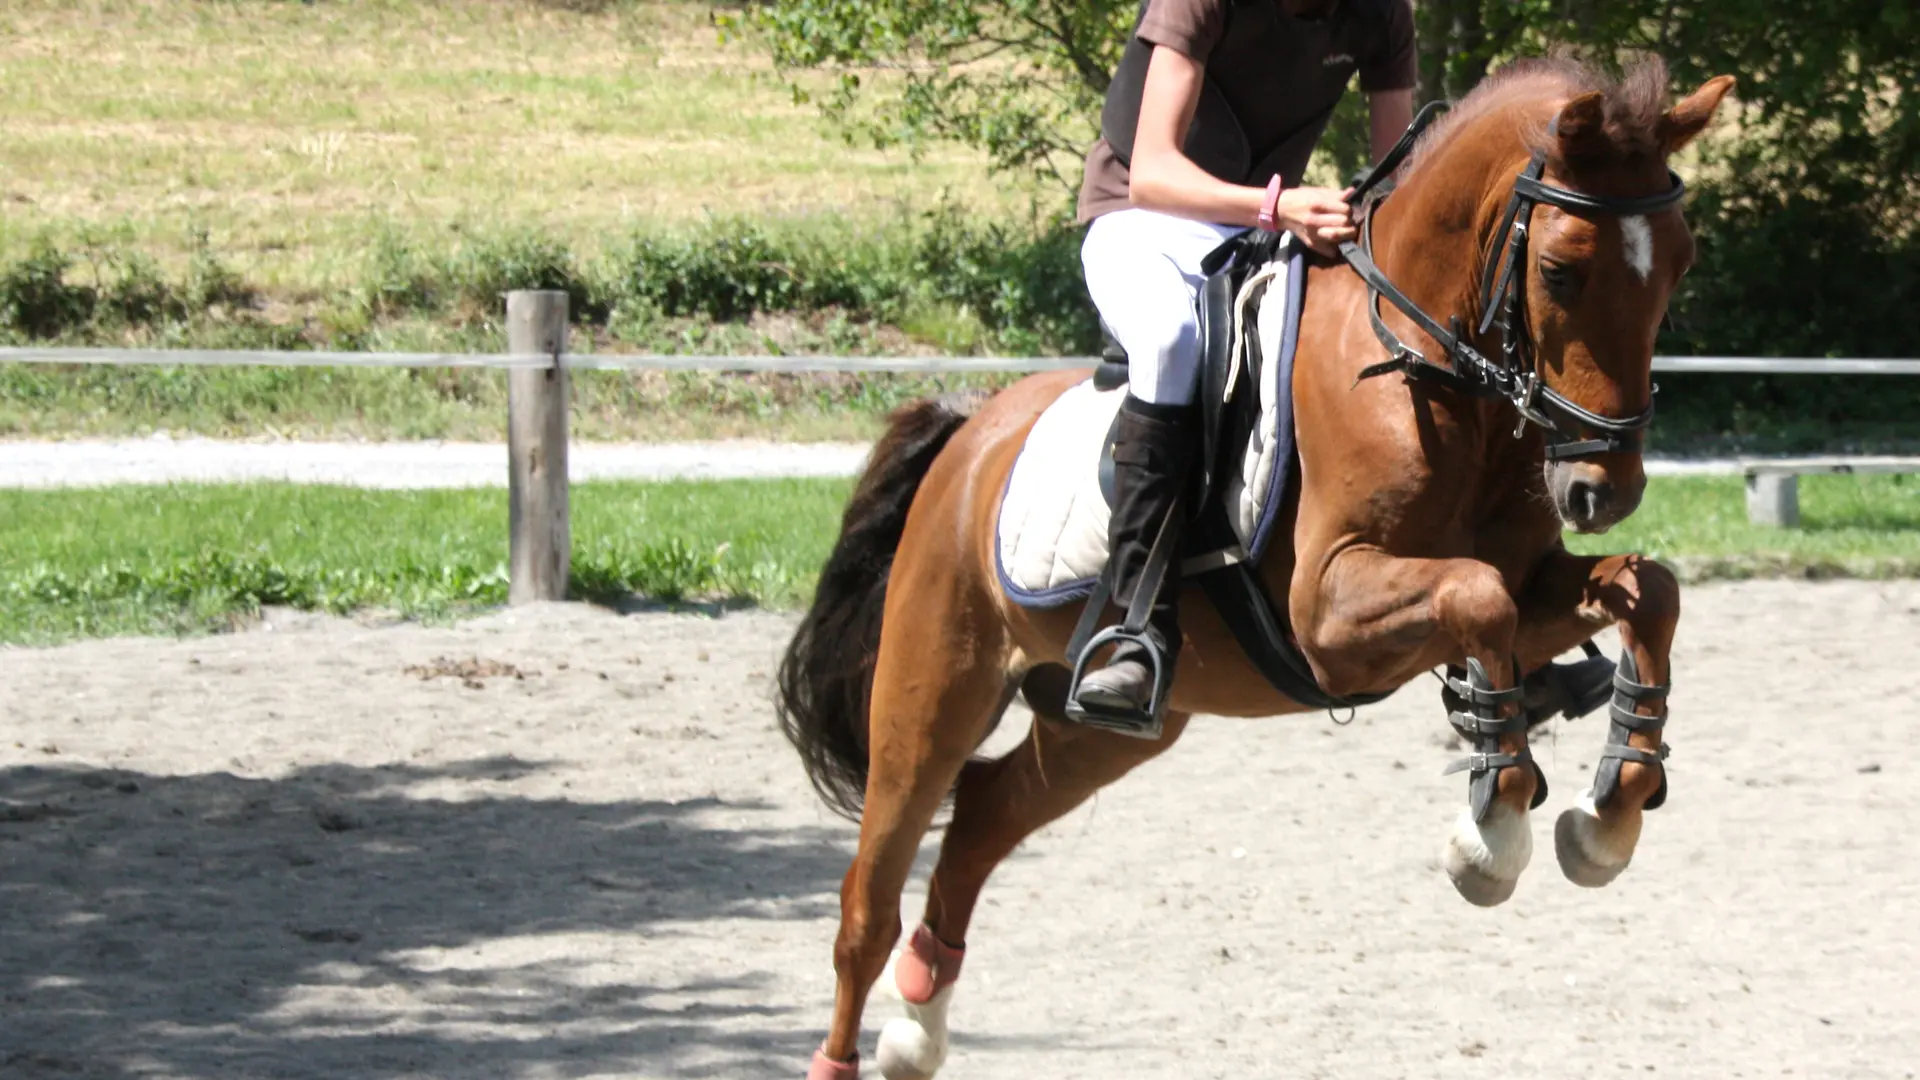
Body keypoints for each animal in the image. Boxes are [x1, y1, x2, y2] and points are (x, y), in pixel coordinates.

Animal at [779, 55, 1736, 1080]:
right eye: (1560, 270)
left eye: (1680, 264)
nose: (1606, 487)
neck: (1430, 375)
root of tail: (968, 438)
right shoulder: (1328, 620)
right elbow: (1479, 604)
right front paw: (1493, 830)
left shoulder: (1531, 583)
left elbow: (1644, 593)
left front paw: (1610, 813)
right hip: (932, 691)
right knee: (868, 899)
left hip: (1104, 728)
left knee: (983, 817)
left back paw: (919, 1022)